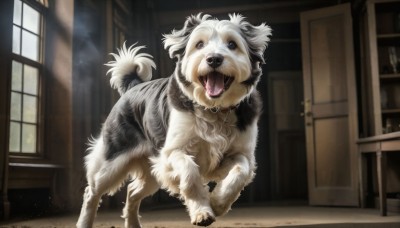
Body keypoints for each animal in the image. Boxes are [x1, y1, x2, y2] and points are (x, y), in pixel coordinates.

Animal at [77, 13, 272, 227]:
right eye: (199, 44)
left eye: (232, 44)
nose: (213, 59)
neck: (214, 107)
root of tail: (133, 86)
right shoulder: (171, 153)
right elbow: (190, 172)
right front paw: (202, 211)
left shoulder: (240, 154)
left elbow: (240, 171)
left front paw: (218, 203)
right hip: (111, 162)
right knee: (91, 192)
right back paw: (84, 221)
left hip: (151, 171)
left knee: (132, 192)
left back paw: (133, 223)